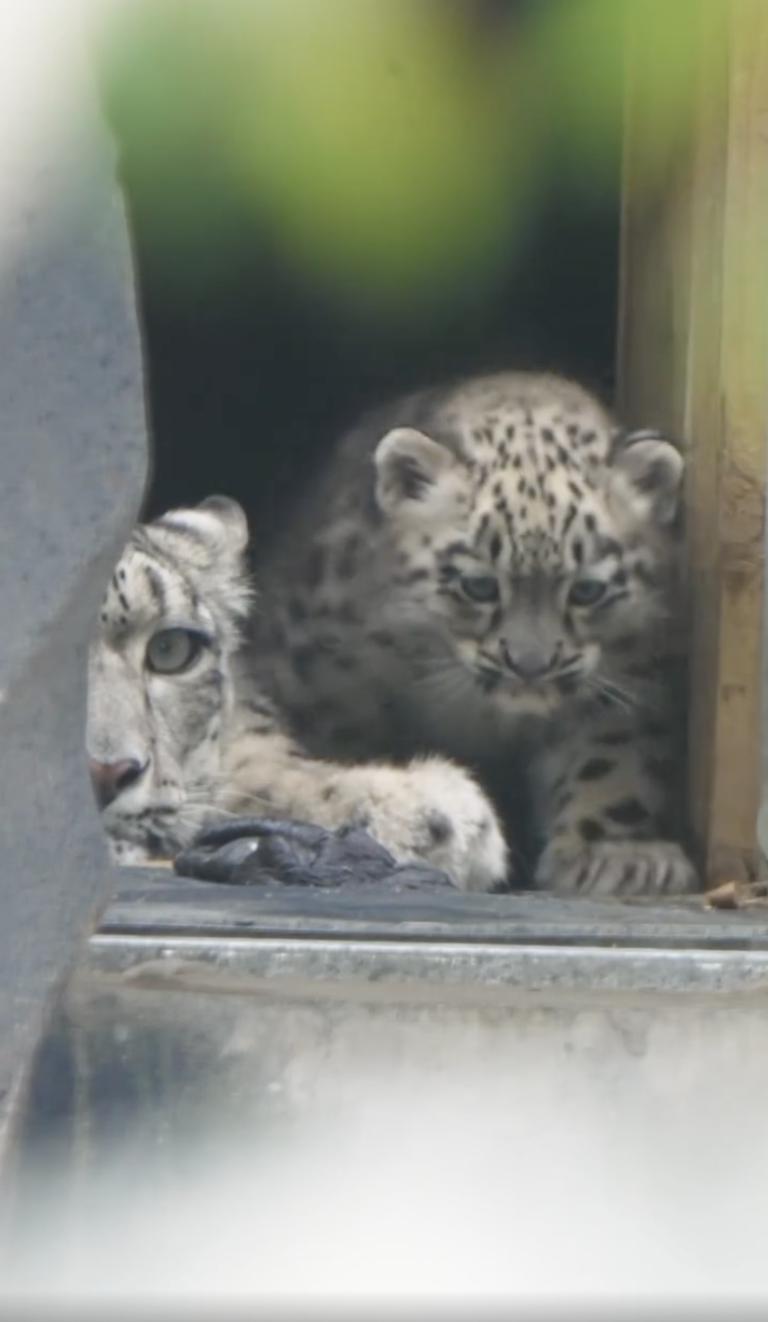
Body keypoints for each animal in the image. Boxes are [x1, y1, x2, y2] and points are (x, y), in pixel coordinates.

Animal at [251, 370, 698, 898]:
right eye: (478, 584)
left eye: (587, 590)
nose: (530, 665)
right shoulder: (319, 674)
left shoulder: (626, 680)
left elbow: (610, 762)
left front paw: (616, 857)